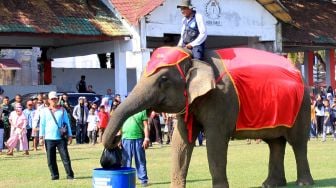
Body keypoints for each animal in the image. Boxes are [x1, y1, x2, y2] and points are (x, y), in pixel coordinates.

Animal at [101, 46, 312, 187]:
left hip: (302, 106)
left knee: (297, 142)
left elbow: (215, 142)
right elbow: (181, 142)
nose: (117, 139)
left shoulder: (220, 98)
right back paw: (270, 184)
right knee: (275, 143)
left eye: (163, 79)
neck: (196, 60)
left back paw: (303, 183)